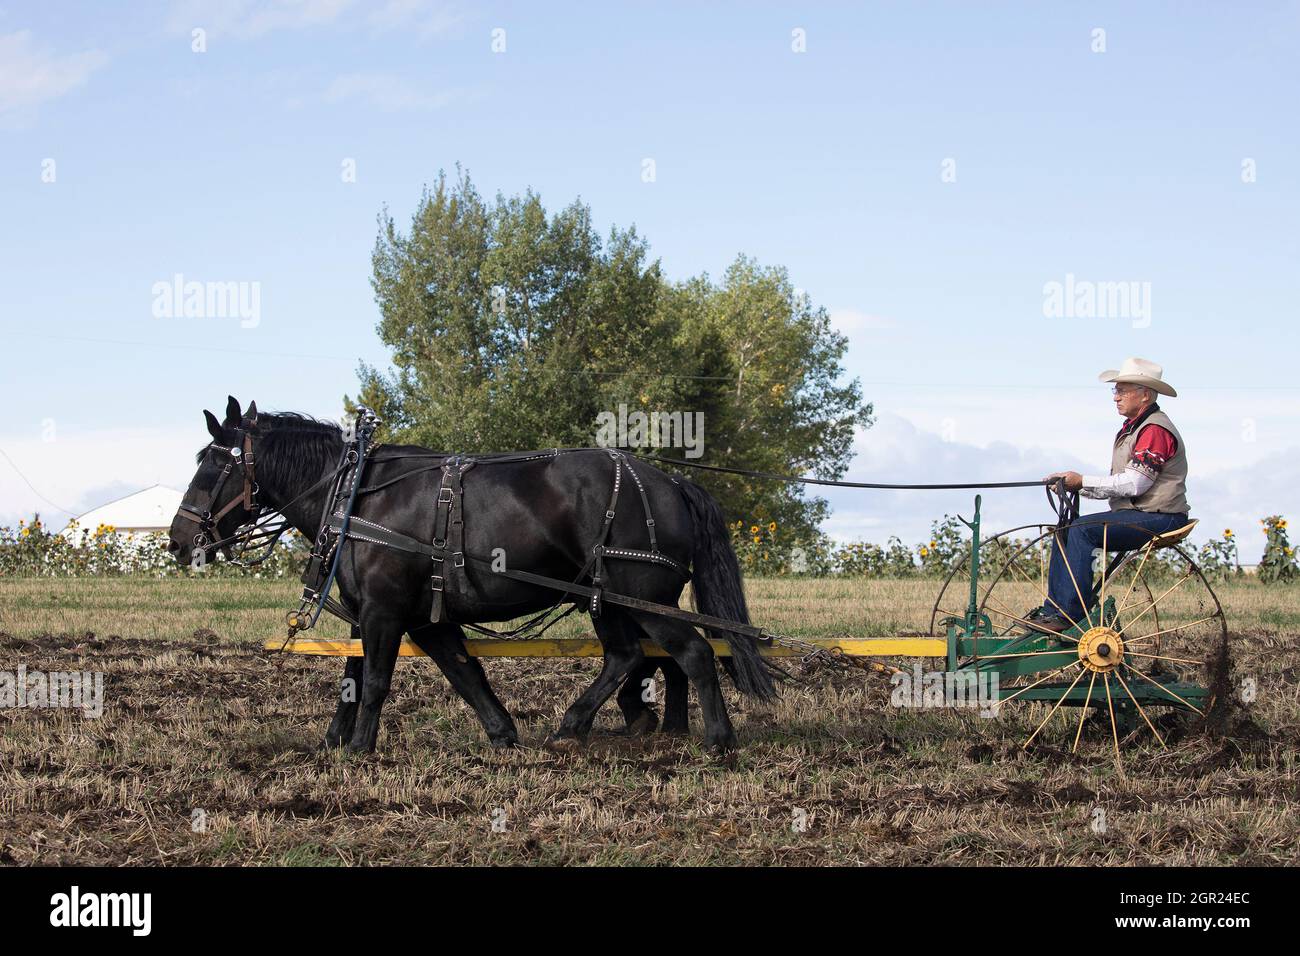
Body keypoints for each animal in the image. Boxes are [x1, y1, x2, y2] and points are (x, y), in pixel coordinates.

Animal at [162, 398, 769, 754]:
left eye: (214, 463)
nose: (179, 540)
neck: (356, 495)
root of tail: (671, 483)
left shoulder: (385, 611)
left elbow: (376, 680)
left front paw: (359, 751)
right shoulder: (406, 616)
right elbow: (454, 672)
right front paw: (501, 734)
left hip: (639, 596)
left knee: (691, 653)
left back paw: (719, 743)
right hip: (609, 600)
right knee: (627, 657)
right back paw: (573, 726)